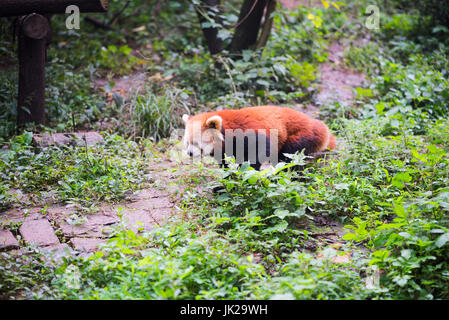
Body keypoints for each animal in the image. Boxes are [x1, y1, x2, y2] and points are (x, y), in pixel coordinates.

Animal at [181, 105, 332, 170]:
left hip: (301, 135)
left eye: (197, 143)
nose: (189, 153)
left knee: (289, 155)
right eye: (187, 143)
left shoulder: (249, 134)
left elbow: (259, 151)